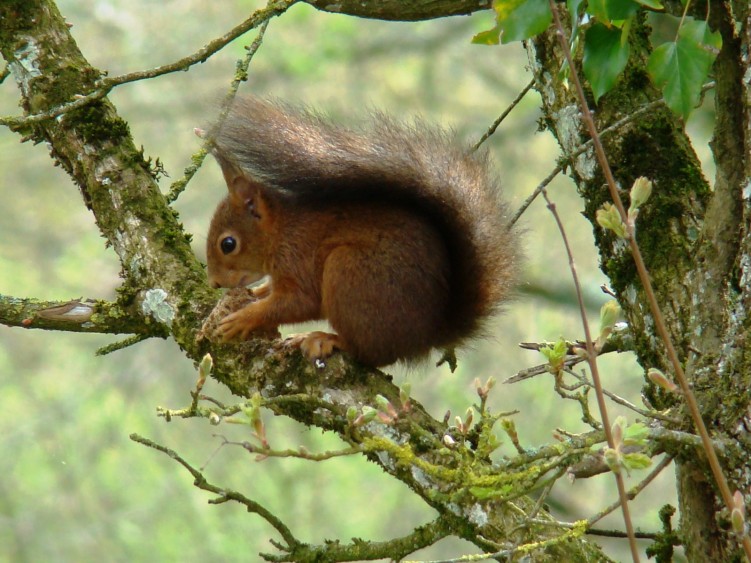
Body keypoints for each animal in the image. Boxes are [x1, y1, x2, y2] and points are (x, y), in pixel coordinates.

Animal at [206, 98, 524, 368]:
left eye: (228, 244)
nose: (214, 283)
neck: (281, 231)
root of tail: (425, 337)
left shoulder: (297, 258)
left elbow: (300, 302)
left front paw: (244, 318)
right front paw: (257, 292)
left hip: (349, 271)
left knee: (370, 354)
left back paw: (326, 338)